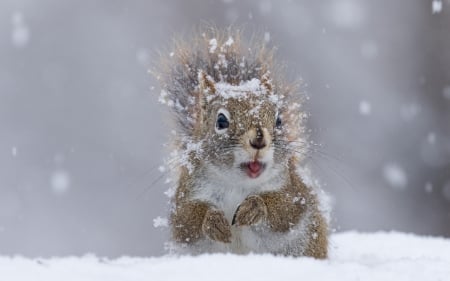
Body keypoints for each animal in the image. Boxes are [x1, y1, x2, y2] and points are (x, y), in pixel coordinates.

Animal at [156, 27, 328, 258]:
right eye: (221, 121)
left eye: (279, 120)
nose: (259, 140)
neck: (237, 184)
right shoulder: (187, 194)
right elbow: (186, 220)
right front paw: (212, 220)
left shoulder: (295, 191)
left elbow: (287, 210)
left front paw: (256, 207)